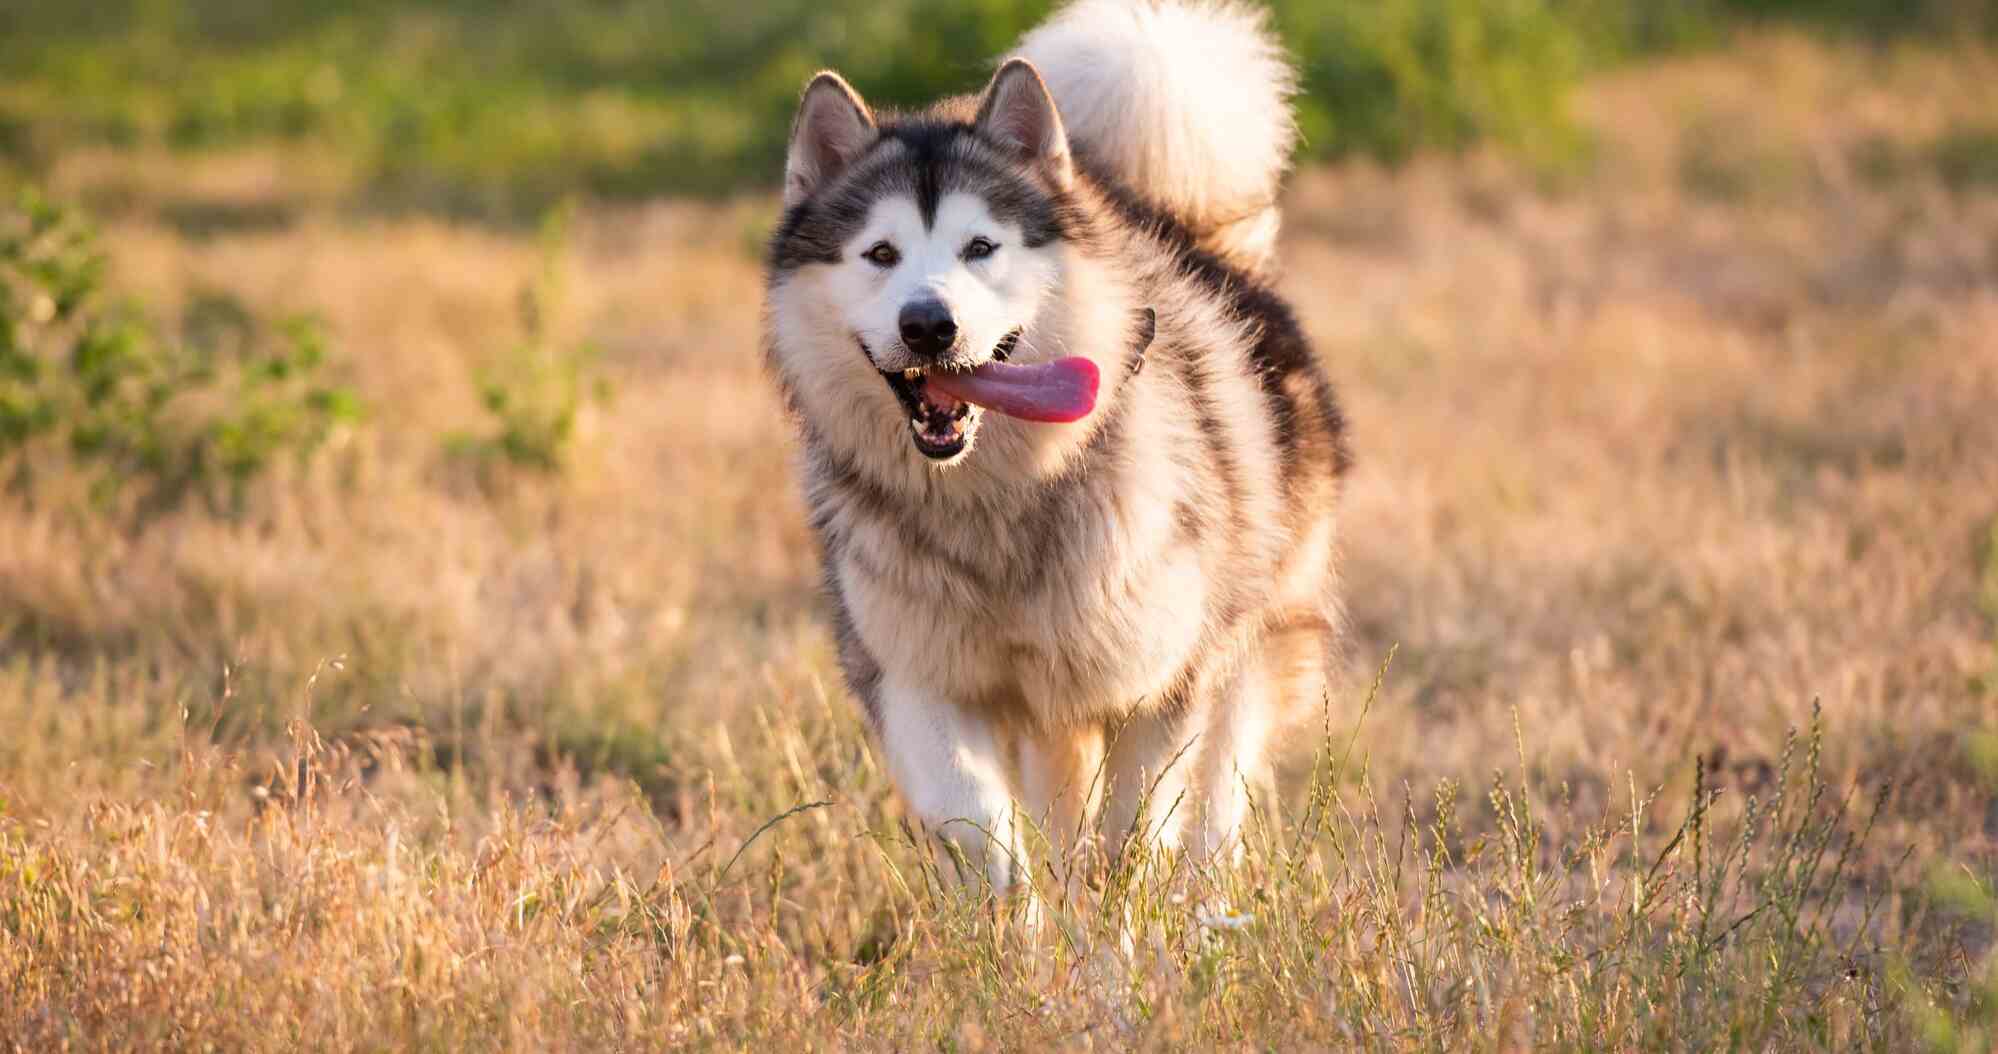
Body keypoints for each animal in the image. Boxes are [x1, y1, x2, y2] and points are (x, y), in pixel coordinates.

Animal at [771, 0, 1350, 894]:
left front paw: (1118, 930)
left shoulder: (1161, 684)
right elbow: (988, 838)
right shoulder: (916, 676)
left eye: (981, 248)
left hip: (1246, 649)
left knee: (1214, 816)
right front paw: (1019, 922)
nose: (928, 324)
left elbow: (1132, 842)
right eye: (880, 254)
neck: (997, 495)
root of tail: (1186, 230)